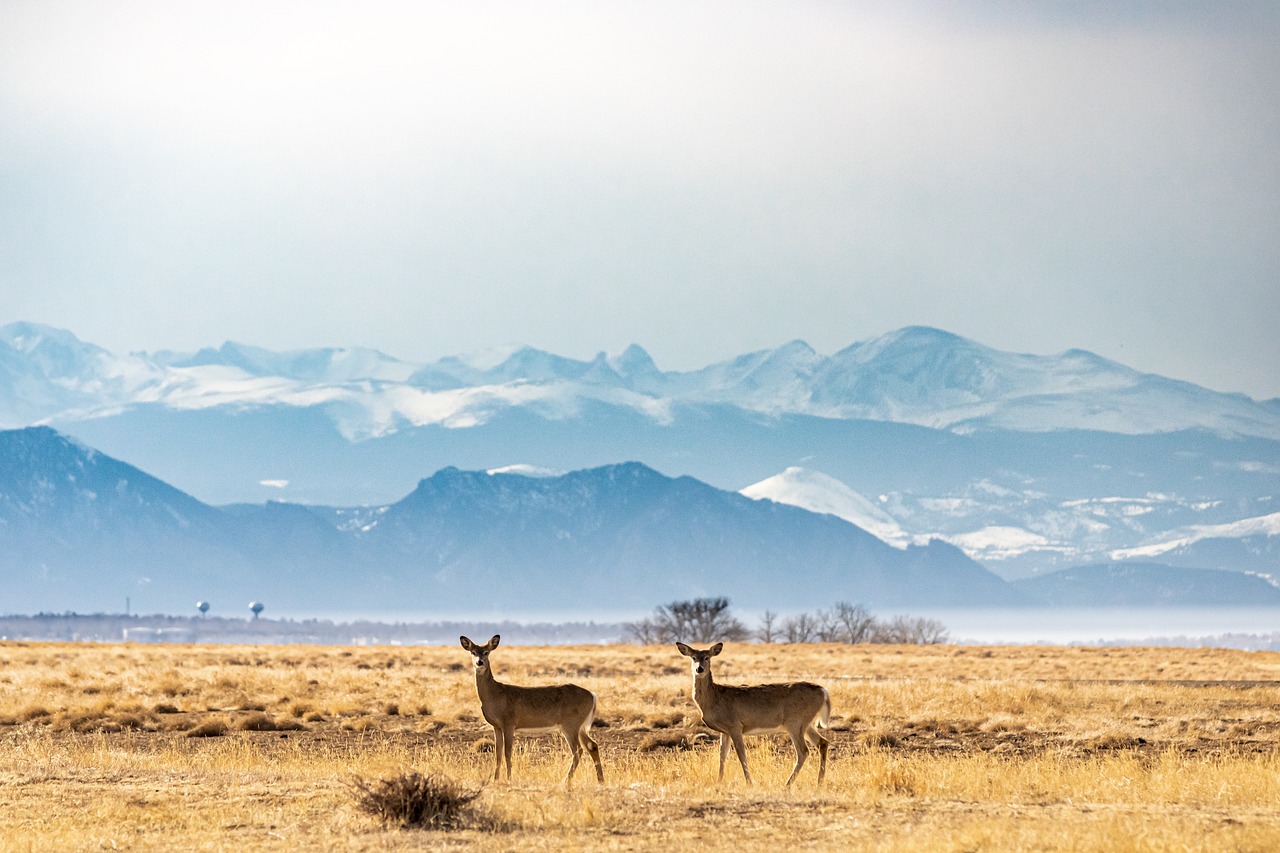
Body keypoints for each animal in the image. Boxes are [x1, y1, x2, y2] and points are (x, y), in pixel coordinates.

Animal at [458, 630, 601, 783]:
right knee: (592, 745)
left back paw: (565, 781)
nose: (479, 662)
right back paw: (600, 780)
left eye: (486, 652)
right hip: (579, 726)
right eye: (473, 652)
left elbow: (507, 752)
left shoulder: (509, 722)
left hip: (571, 724)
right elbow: (498, 754)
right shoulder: (496, 726)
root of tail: (592, 695)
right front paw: (495, 780)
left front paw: (509, 779)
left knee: (578, 750)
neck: (494, 695)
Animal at [675, 637, 834, 783]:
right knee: (822, 743)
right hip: (806, 724)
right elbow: (722, 755)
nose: (699, 669)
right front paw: (718, 782)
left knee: (803, 751)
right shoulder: (724, 731)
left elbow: (741, 754)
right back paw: (819, 782)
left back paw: (788, 784)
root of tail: (823, 691)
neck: (714, 698)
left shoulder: (735, 726)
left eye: (707, 657)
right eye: (693, 657)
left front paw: (749, 782)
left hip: (795, 722)